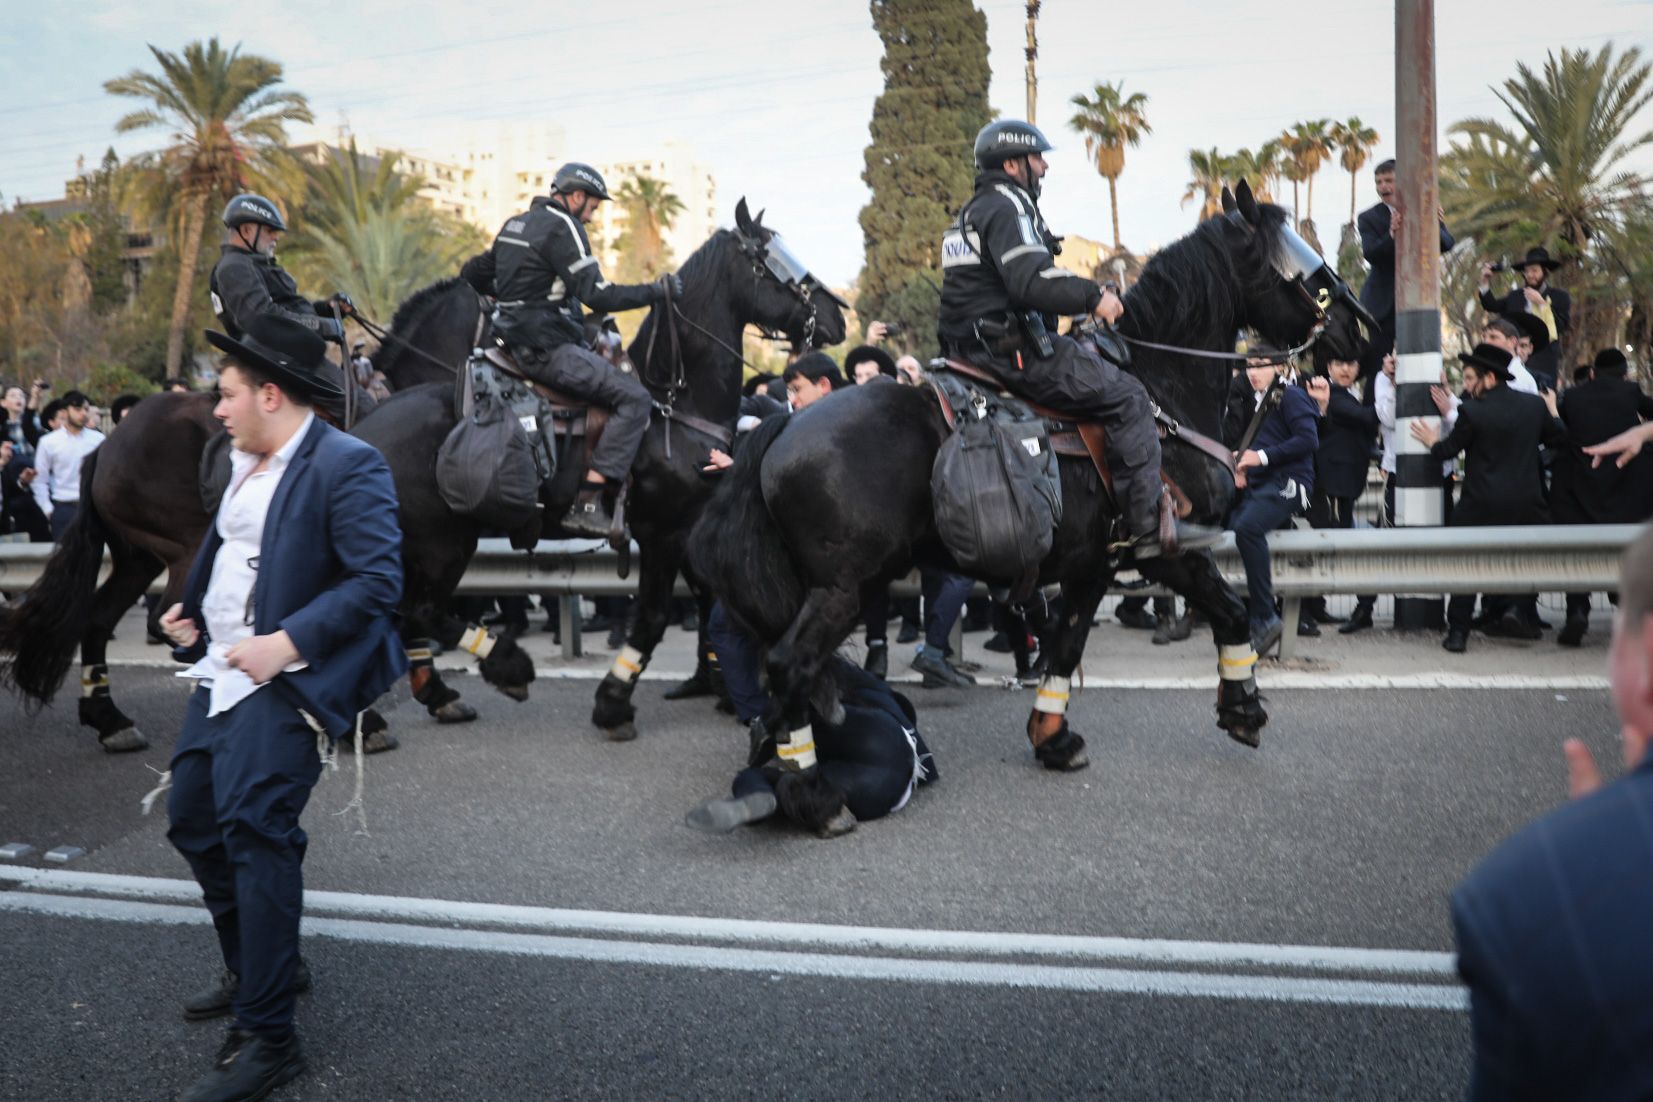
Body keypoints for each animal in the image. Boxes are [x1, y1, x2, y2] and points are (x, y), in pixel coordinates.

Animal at [690, 183, 1375, 802]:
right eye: (1301, 262)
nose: (1363, 330)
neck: (1157, 385)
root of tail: (783, 427)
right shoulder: (1165, 549)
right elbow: (1222, 612)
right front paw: (1240, 709)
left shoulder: (1094, 563)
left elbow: (1070, 644)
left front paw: (1054, 735)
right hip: (841, 589)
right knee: (790, 664)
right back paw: (813, 790)